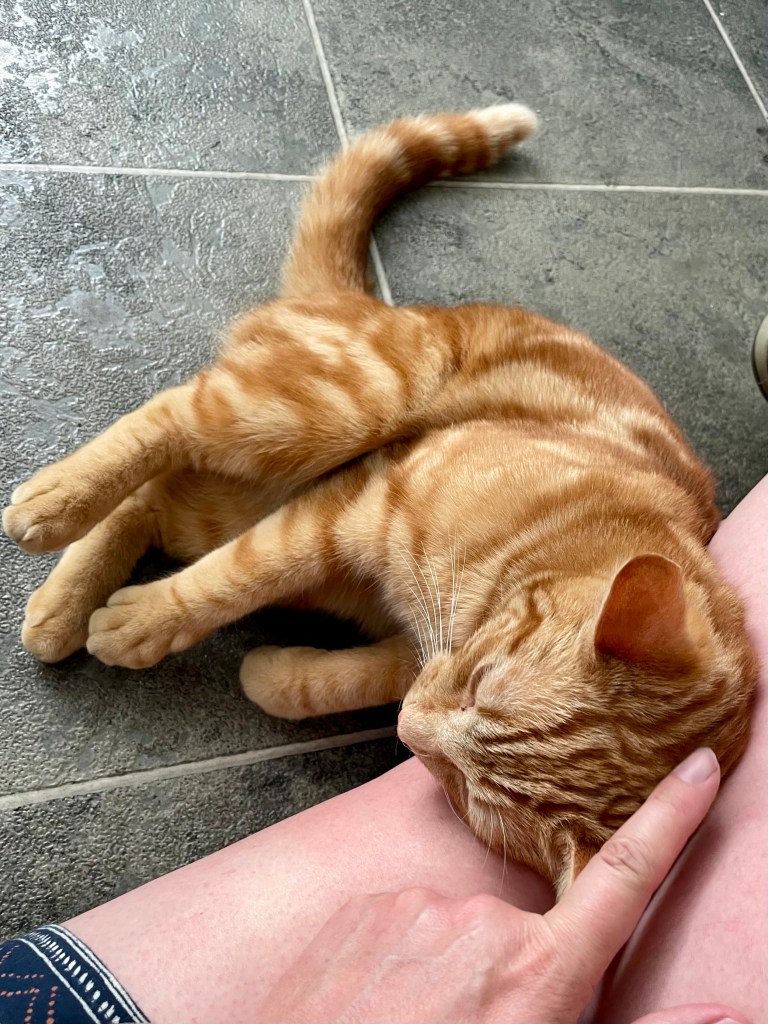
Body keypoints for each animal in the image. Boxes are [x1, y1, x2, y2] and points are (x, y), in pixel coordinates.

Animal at [4, 104, 757, 895]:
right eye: (479, 685)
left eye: (467, 792)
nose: (408, 732)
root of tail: (363, 300)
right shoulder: (362, 501)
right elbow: (230, 582)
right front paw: (147, 622)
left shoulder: (400, 646)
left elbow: (342, 679)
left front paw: (273, 675)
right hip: (333, 408)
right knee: (167, 418)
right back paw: (53, 506)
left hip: (240, 492)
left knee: (153, 500)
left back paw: (60, 607)